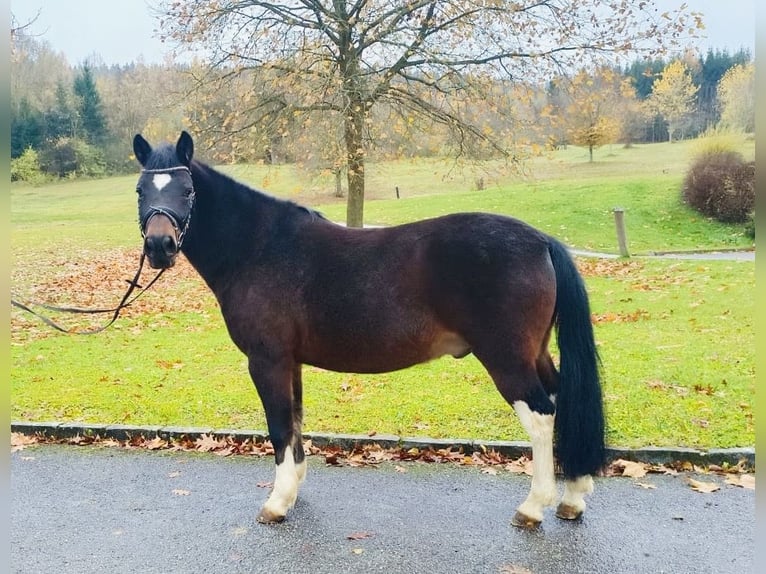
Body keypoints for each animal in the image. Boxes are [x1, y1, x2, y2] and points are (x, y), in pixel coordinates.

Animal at [135, 132, 608, 532]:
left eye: (187, 191)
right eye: (141, 191)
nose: (159, 247)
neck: (259, 247)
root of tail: (542, 240)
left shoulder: (266, 361)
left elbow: (279, 426)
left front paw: (276, 503)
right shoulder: (290, 362)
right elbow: (296, 421)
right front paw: (294, 490)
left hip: (507, 358)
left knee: (541, 416)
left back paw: (533, 506)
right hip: (535, 353)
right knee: (563, 401)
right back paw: (573, 497)